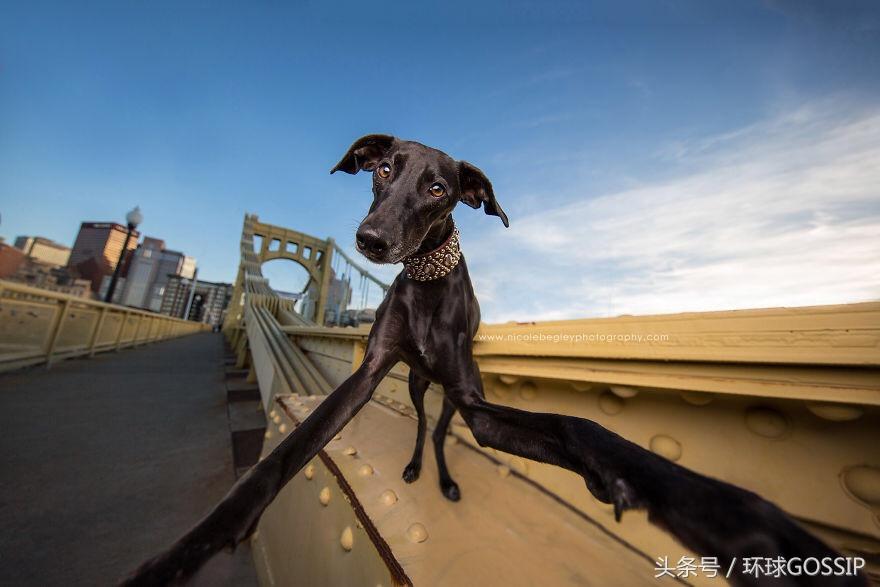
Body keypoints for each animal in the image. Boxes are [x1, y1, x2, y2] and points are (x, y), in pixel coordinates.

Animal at [120, 136, 864, 584]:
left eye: (439, 189)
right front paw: (186, 550)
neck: (426, 283)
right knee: (423, 423)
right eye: (384, 169)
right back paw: (415, 466)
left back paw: (445, 478)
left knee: (443, 430)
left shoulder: (478, 405)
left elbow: (578, 425)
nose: (372, 239)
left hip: (450, 396)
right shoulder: (367, 376)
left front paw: (718, 509)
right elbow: (285, 452)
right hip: (416, 386)